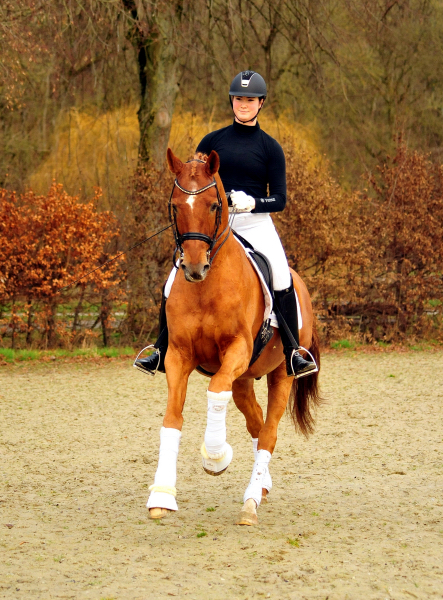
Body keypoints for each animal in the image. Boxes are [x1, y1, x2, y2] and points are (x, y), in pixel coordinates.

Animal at [147, 149, 320, 524]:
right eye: (176, 205)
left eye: (214, 205)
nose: (194, 268)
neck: (206, 288)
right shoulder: (178, 355)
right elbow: (171, 418)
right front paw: (162, 496)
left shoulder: (236, 350)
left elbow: (214, 392)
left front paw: (215, 457)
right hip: (242, 380)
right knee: (256, 424)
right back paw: (262, 485)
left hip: (281, 373)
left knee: (268, 432)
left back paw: (251, 501)